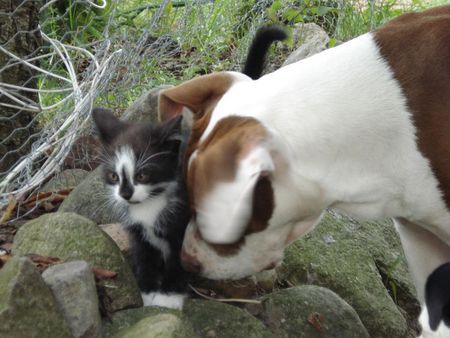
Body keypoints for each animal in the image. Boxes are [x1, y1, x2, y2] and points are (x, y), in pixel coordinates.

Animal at [91, 109, 190, 310]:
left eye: (142, 175)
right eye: (114, 176)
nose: (125, 194)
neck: (149, 204)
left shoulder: (180, 223)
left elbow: (177, 260)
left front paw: (169, 297)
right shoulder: (137, 232)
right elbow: (144, 257)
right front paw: (146, 292)